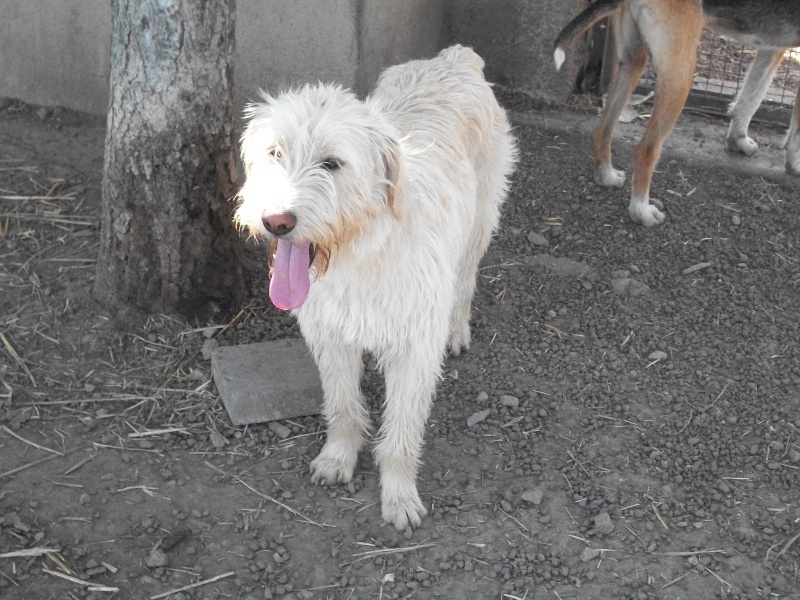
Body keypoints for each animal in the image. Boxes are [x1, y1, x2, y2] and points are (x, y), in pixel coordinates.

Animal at [234, 47, 516, 528]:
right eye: (275, 152)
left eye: (332, 163)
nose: (276, 221)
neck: (362, 250)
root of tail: (454, 57)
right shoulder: (329, 335)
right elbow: (342, 405)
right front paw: (338, 457)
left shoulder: (415, 349)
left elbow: (402, 430)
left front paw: (399, 495)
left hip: (479, 222)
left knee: (465, 279)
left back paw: (457, 329)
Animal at [556, 0, 800, 225]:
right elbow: (794, 133)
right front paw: (794, 166)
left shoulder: (771, 48)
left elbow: (751, 98)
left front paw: (738, 140)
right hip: (680, 75)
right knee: (645, 150)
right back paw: (641, 211)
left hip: (633, 61)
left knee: (601, 133)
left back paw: (607, 175)